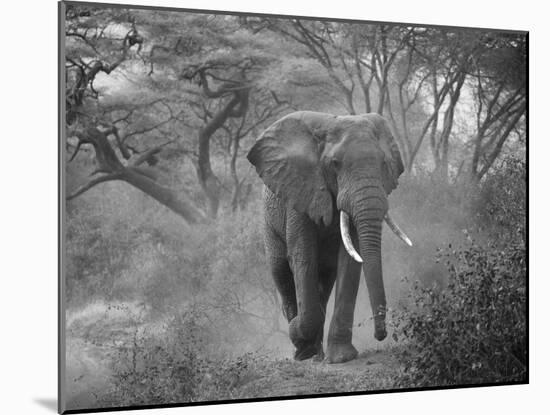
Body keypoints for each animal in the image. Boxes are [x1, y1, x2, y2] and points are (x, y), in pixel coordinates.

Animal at [248, 110, 412, 364]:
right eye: (335, 164)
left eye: (384, 163)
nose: (381, 335)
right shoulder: (300, 194)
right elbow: (303, 258)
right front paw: (298, 335)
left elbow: (349, 263)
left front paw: (341, 358)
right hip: (268, 221)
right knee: (282, 274)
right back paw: (302, 347)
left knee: (324, 282)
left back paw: (317, 354)